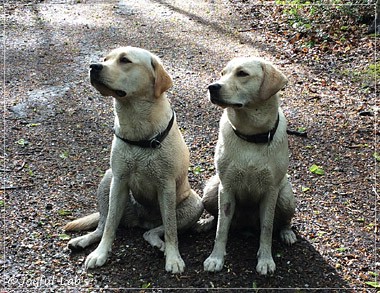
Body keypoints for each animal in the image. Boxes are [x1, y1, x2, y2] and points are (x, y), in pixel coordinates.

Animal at [63, 46, 203, 272]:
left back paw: (158, 243)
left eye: (125, 60)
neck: (137, 125)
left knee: (154, 230)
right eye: (105, 59)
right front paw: (101, 253)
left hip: (195, 205)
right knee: (103, 224)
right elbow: (110, 225)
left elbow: (171, 229)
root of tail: (142, 221)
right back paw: (83, 241)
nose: (94, 66)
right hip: (107, 180)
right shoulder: (119, 181)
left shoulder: (166, 186)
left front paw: (173, 258)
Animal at [202, 56, 296, 274]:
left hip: (286, 197)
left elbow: (267, 228)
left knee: (283, 221)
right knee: (218, 218)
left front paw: (266, 260)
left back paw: (287, 233)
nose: (212, 87)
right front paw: (216, 258)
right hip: (211, 189)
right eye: (222, 73)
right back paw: (206, 222)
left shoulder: (271, 192)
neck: (252, 136)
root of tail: (246, 224)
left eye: (242, 73)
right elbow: (221, 229)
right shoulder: (226, 188)